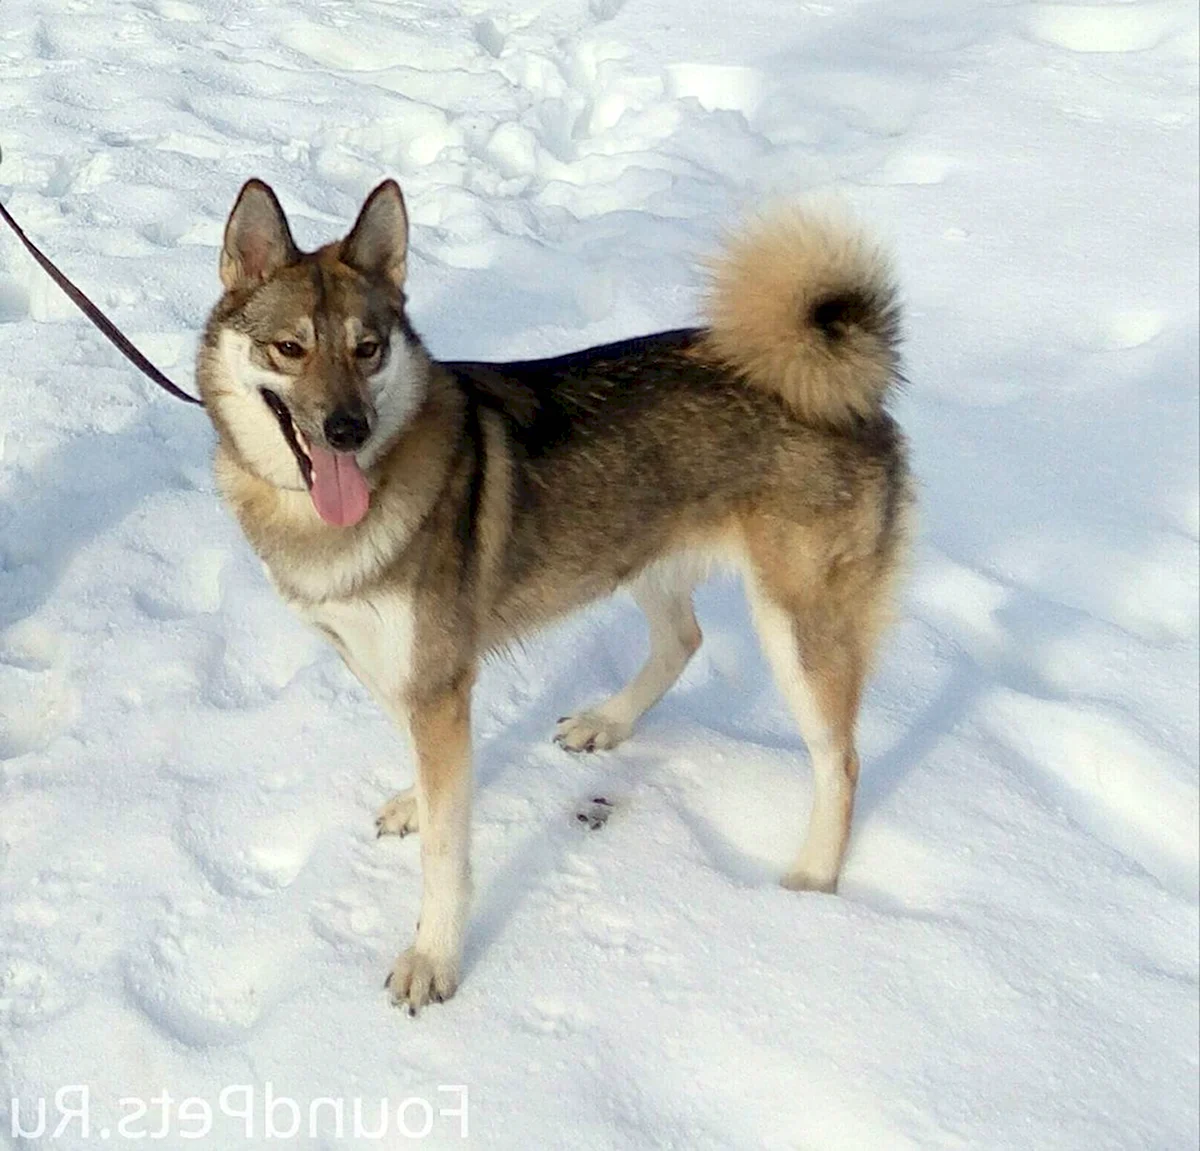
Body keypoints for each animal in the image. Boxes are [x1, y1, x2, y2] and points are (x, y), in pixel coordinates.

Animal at [196, 175, 912, 1012]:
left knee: (841, 761)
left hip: (797, 627)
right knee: (684, 641)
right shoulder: (394, 667)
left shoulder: (437, 680)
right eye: (290, 347)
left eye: (367, 349)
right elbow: (428, 776)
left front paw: (433, 958)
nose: (347, 428)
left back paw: (812, 880)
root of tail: (847, 382)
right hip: (643, 554)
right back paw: (607, 722)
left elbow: (447, 853)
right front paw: (415, 803)